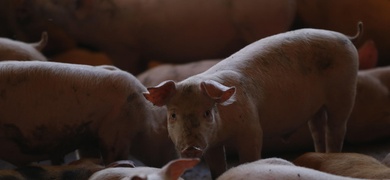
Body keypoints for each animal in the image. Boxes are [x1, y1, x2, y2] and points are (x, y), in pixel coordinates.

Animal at [0, 60, 175, 167]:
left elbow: (87, 156)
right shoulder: (115, 130)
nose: (175, 160)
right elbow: (115, 157)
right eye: (169, 140)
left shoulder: (88, 137)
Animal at [142, 25, 360, 177]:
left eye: (207, 112)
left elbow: (250, 156)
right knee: (317, 129)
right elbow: (217, 167)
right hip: (316, 108)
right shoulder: (212, 143)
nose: (190, 148)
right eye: (173, 115)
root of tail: (345, 37)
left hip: (345, 92)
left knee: (337, 128)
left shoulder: (251, 127)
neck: (224, 130)